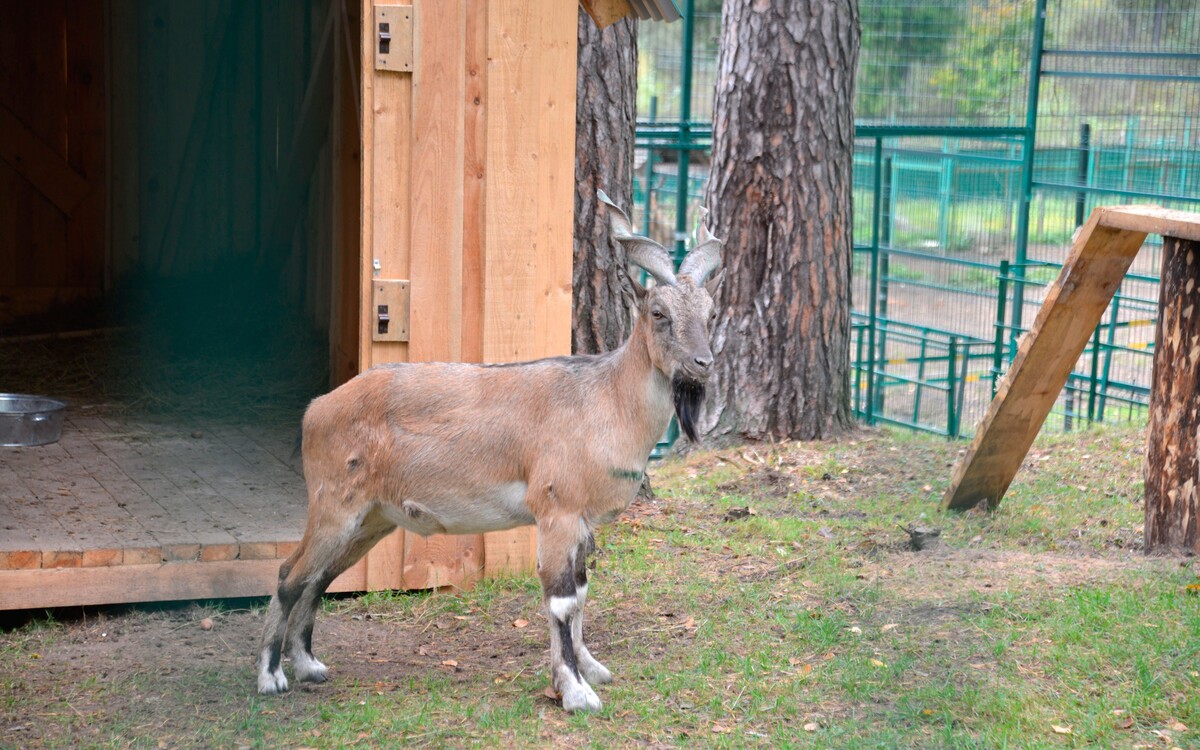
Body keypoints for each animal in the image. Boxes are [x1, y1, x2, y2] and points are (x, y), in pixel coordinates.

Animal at [258, 189, 720, 710]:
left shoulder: (579, 523)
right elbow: (562, 601)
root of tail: (316, 409)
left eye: (711, 313)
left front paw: (591, 670)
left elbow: (581, 593)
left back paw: (309, 665)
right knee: (289, 573)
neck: (603, 401)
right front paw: (575, 692)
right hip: (334, 506)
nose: (702, 363)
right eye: (658, 312)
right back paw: (271, 676)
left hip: (370, 519)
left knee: (318, 577)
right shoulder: (556, 511)